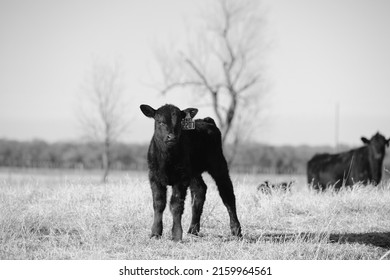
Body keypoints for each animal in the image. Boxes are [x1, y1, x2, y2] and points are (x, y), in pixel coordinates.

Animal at [140, 104, 241, 242]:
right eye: (160, 121)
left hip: (218, 164)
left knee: (227, 194)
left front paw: (176, 235)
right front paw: (155, 233)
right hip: (193, 172)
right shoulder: (154, 177)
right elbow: (159, 203)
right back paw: (193, 230)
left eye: (180, 122)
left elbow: (176, 205)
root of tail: (206, 120)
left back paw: (236, 231)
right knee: (200, 191)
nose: (172, 137)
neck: (167, 159)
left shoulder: (181, 179)